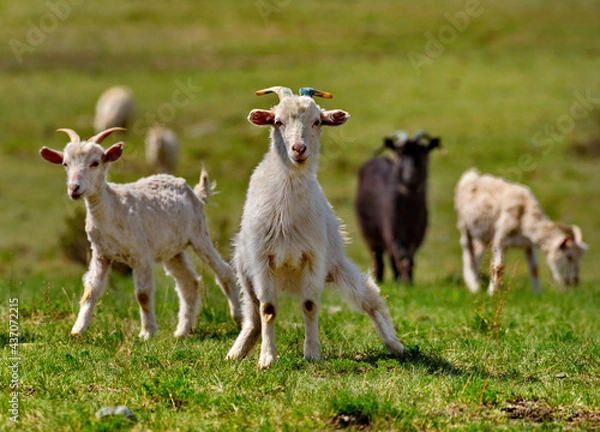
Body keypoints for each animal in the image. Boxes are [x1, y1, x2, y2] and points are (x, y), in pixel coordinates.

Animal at [39, 127, 243, 338]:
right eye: (65, 164)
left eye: (95, 163)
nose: (74, 188)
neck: (112, 206)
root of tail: (193, 191)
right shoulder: (101, 254)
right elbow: (91, 291)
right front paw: (78, 330)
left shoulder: (140, 254)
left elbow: (143, 295)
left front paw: (147, 332)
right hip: (172, 250)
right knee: (189, 283)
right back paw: (182, 330)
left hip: (199, 234)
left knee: (224, 271)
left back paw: (239, 319)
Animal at [227, 87, 406, 368]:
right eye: (278, 122)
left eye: (317, 122)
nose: (299, 149)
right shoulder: (262, 259)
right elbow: (268, 310)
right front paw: (267, 358)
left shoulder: (314, 257)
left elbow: (309, 305)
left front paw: (312, 353)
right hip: (244, 272)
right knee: (253, 313)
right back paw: (238, 350)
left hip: (337, 265)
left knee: (371, 299)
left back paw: (394, 344)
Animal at [356, 132, 440, 286]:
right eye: (400, 153)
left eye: (423, 152)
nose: (410, 175)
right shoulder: (392, 229)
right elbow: (401, 256)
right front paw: (405, 282)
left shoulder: (417, 234)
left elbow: (409, 257)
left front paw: (408, 280)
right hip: (370, 233)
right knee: (378, 257)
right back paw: (379, 279)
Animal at [454, 169, 584, 294]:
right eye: (569, 256)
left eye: (580, 258)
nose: (575, 281)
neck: (525, 213)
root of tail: (471, 177)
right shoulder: (500, 240)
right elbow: (498, 267)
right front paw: (492, 294)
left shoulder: (528, 245)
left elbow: (534, 268)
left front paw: (538, 293)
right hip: (464, 225)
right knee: (467, 251)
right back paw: (473, 285)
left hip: (485, 234)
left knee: (477, 251)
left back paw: (476, 282)